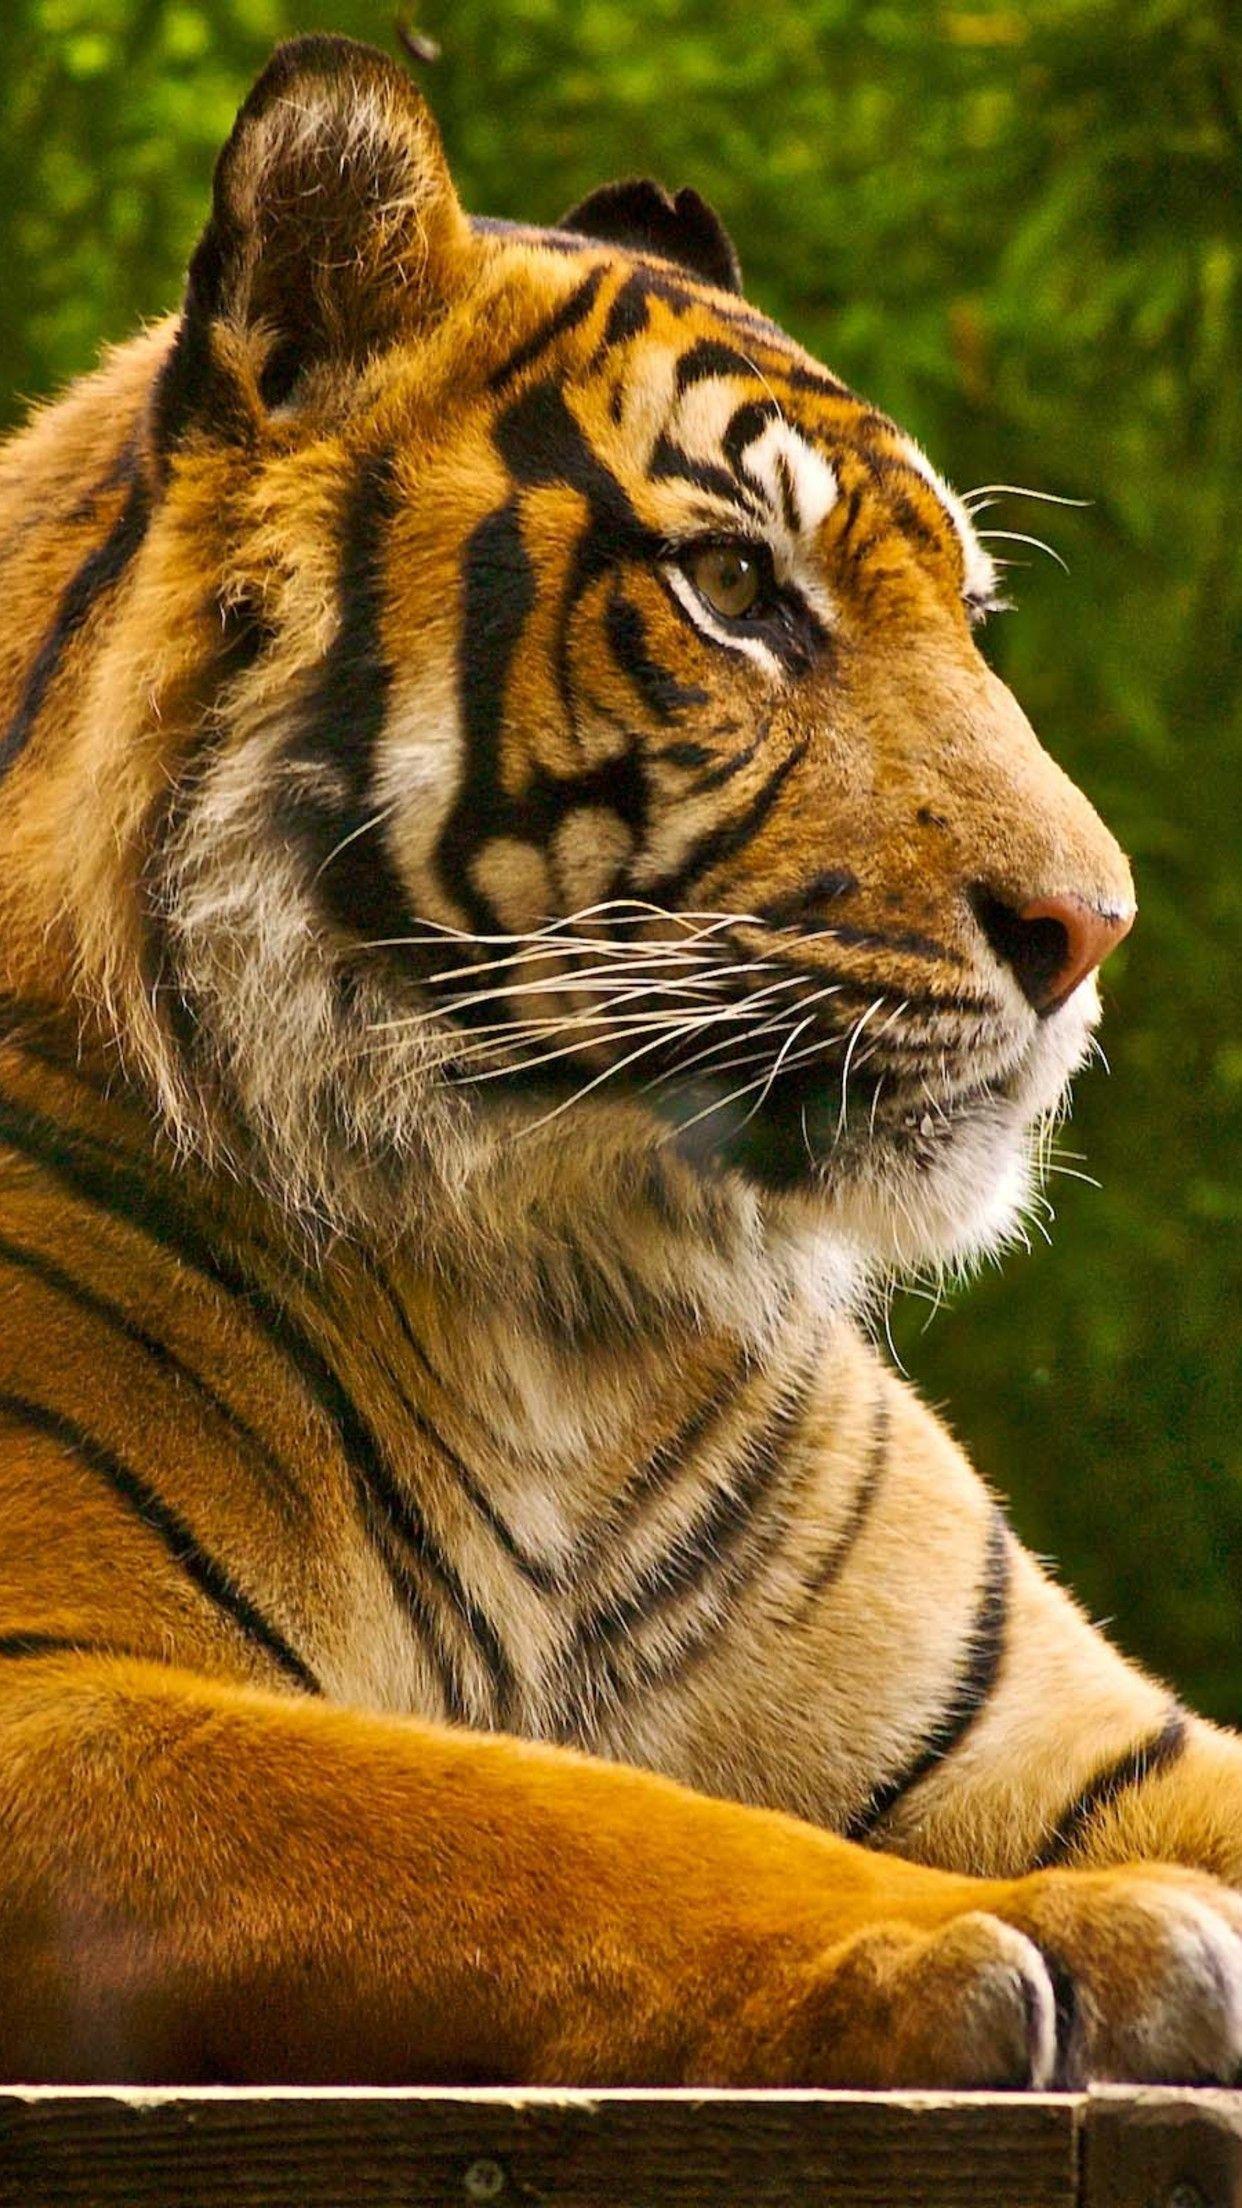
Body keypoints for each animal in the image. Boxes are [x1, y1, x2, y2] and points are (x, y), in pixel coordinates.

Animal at [0, 31, 1238, 2093]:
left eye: (968, 620)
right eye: (734, 584)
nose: (1090, 927)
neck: (558, 1300)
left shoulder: (1070, 1728)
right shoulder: (56, 1685)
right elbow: (555, 1820)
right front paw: (1019, 1934)